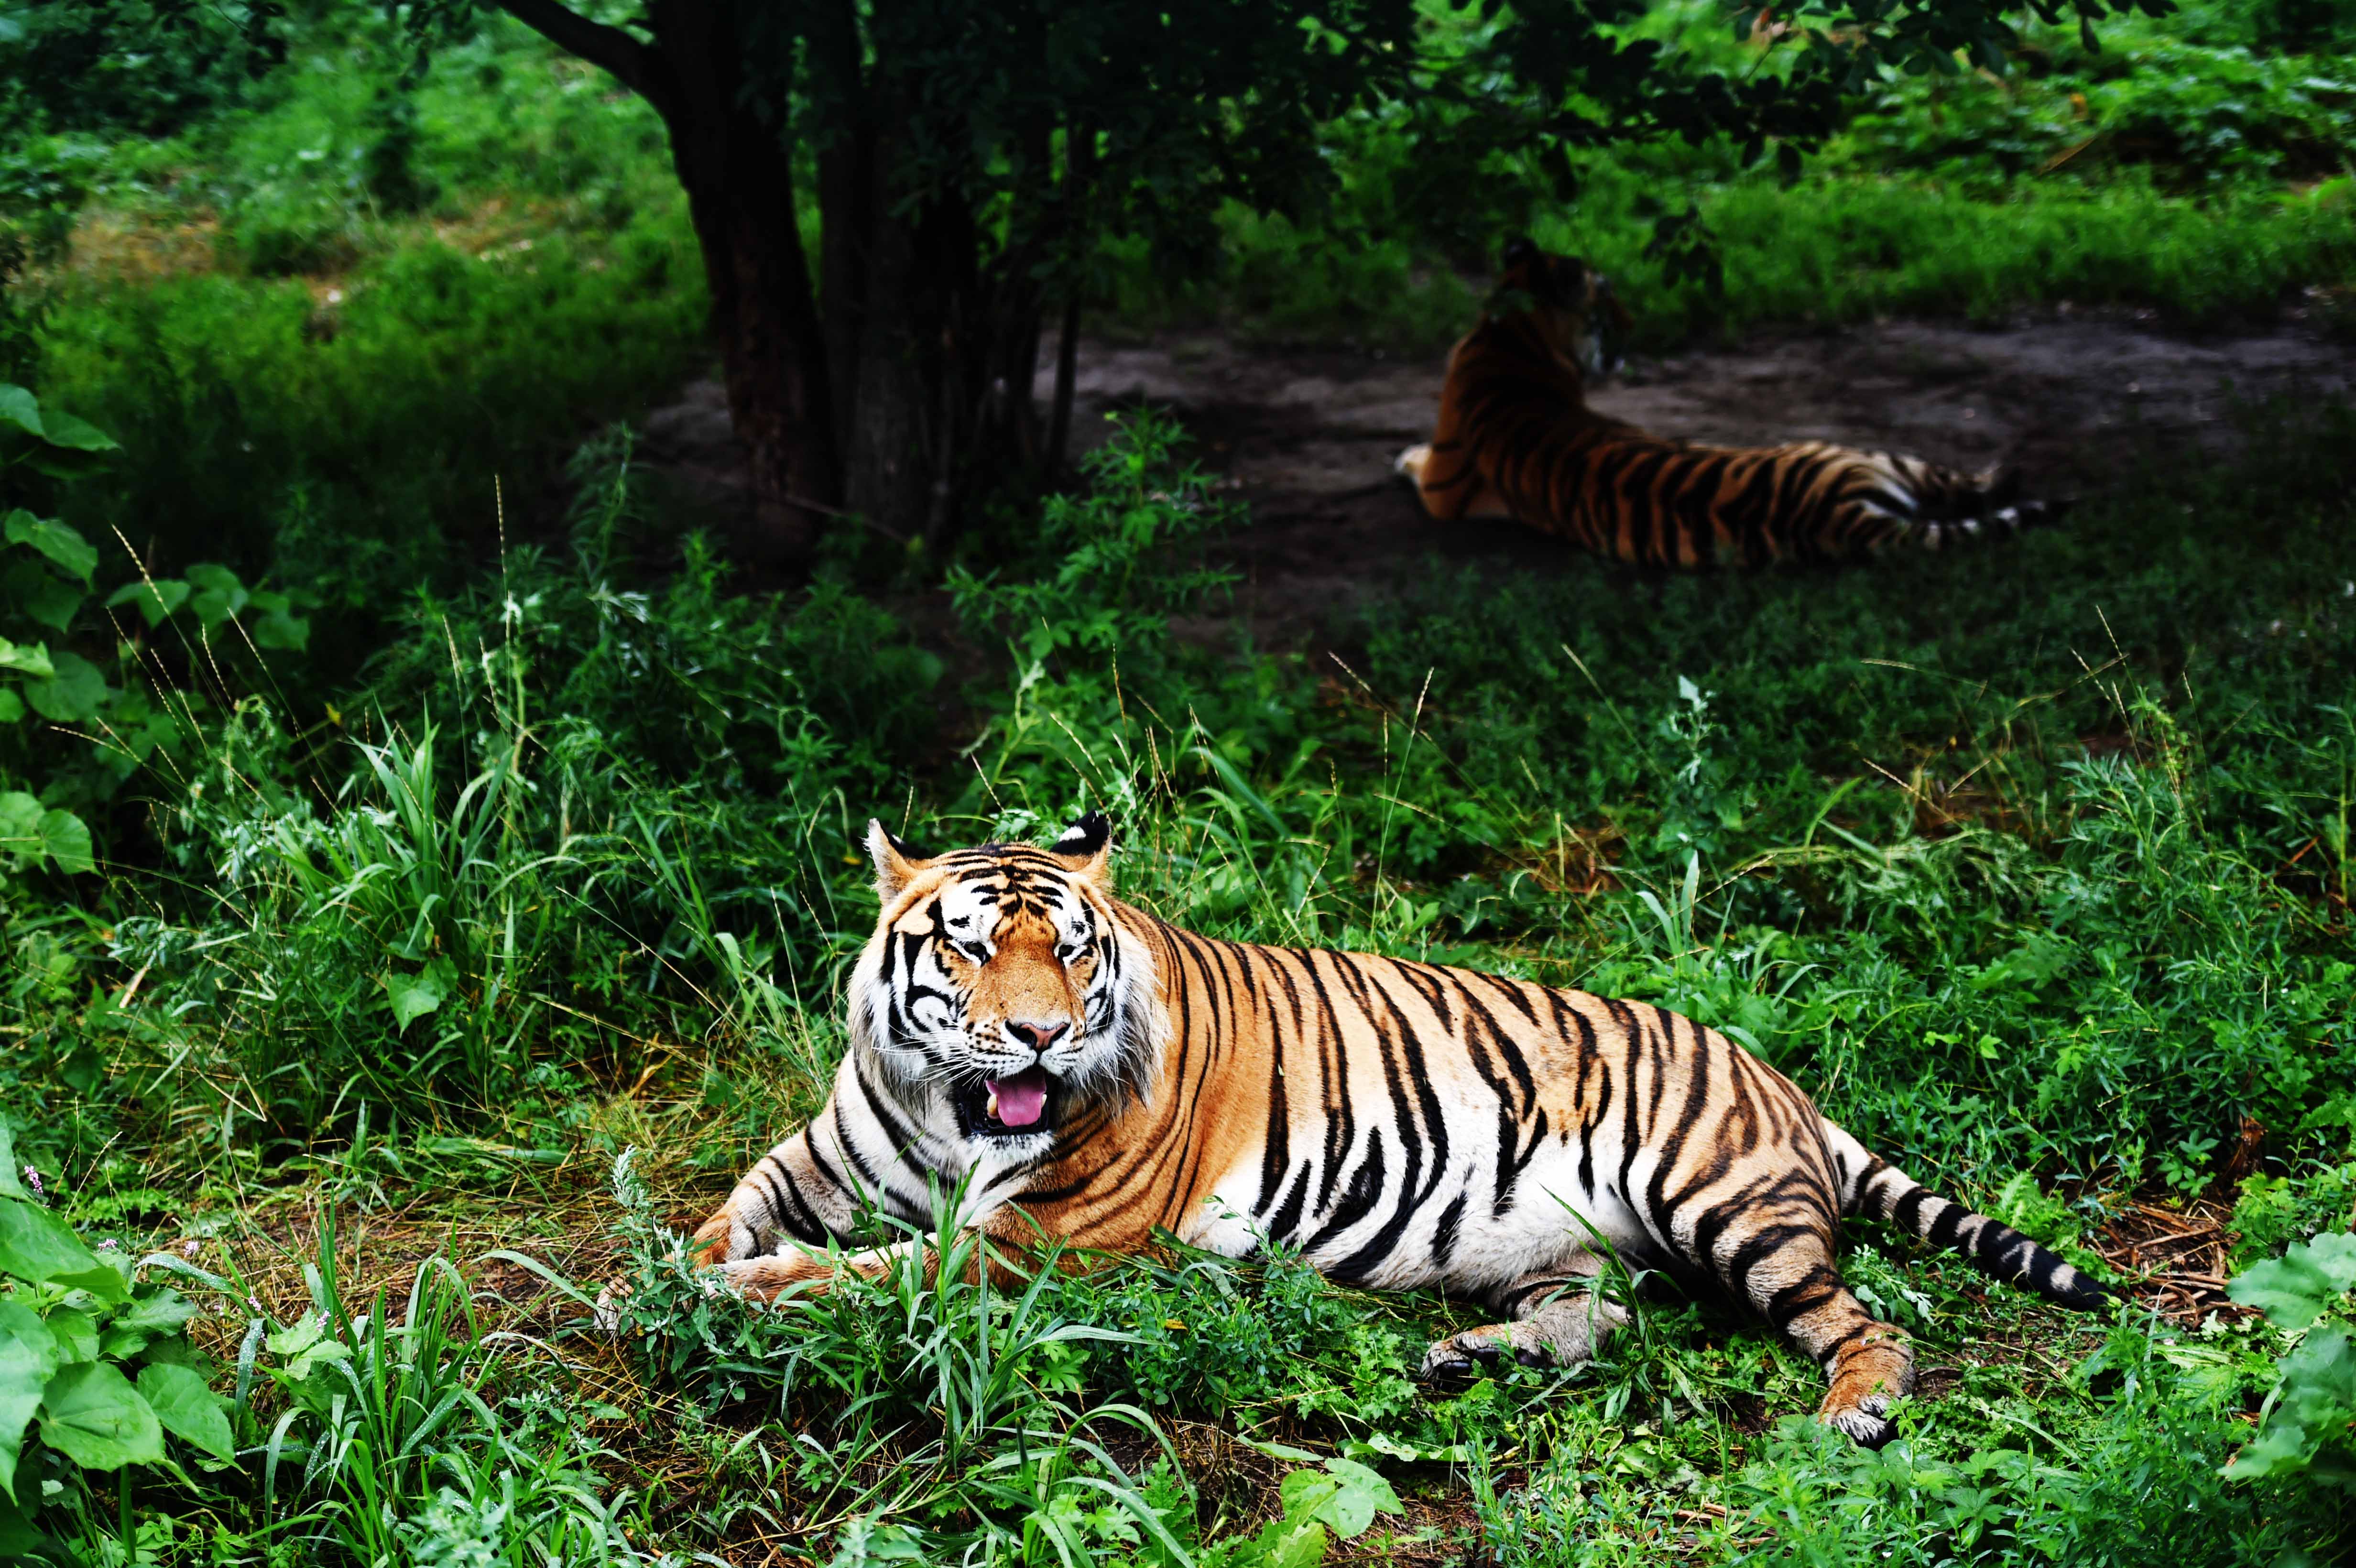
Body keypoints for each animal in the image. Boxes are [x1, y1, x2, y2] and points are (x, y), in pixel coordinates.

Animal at [669, 810, 2120, 1450]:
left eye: (1072, 953)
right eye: (968, 950)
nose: (1036, 1035)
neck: (952, 1109)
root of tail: (1783, 1081)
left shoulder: (1041, 1242)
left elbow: (875, 1277)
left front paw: (748, 1294)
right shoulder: (829, 1152)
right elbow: (735, 1204)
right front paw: (688, 1264)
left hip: (1725, 1203)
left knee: (1866, 1321)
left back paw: (1853, 1412)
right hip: (1563, 1246)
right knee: (1604, 1317)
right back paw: (1465, 1359)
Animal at [1395, 235, 2063, 565]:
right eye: (1605, 299)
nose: (1633, 323)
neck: (1510, 335)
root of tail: (1835, 516)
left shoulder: (1443, 487)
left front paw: (1402, 453)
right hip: (1862, 453)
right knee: (1969, 485)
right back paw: (2010, 472)